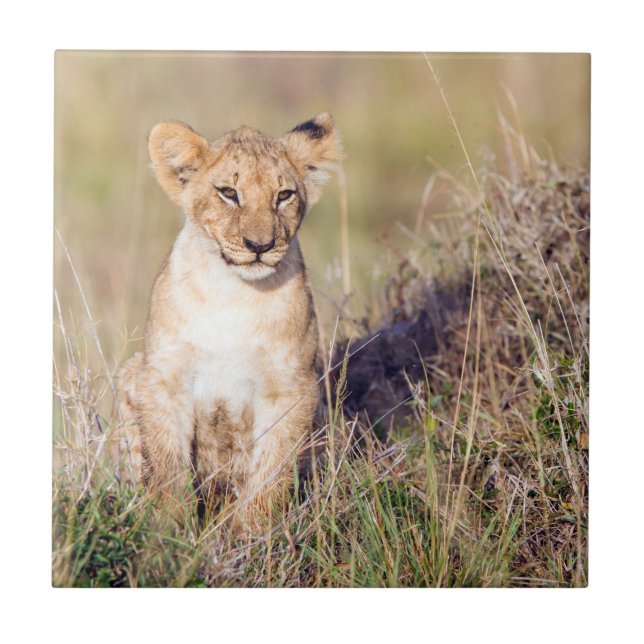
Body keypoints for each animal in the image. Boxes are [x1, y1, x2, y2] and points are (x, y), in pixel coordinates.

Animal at [116, 113, 343, 530]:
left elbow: (271, 472)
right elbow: (167, 467)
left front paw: (252, 534)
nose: (260, 246)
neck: (234, 293)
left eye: (284, 195)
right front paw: (168, 533)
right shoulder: (163, 379)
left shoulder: (291, 388)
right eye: (228, 193)